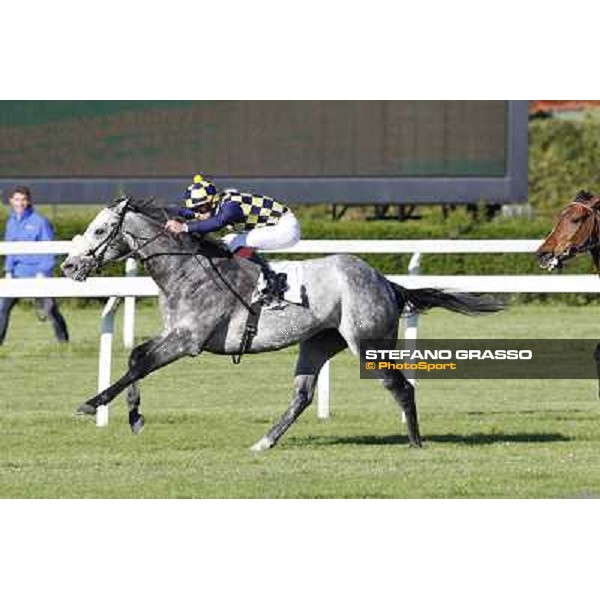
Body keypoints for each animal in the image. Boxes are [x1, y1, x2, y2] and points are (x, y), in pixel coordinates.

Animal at [61, 197, 502, 450]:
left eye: (100, 229)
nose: (68, 266)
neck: (188, 270)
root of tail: (385, 282)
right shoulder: (175, 334)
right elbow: (136, 358)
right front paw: (134, 416)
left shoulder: (189, 340)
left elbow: (140, 363)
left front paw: (91, 404)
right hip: (318, 342)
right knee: (302, 396)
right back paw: (264, 442)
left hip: (368, 342)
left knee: (402, 387)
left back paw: (415, 443)